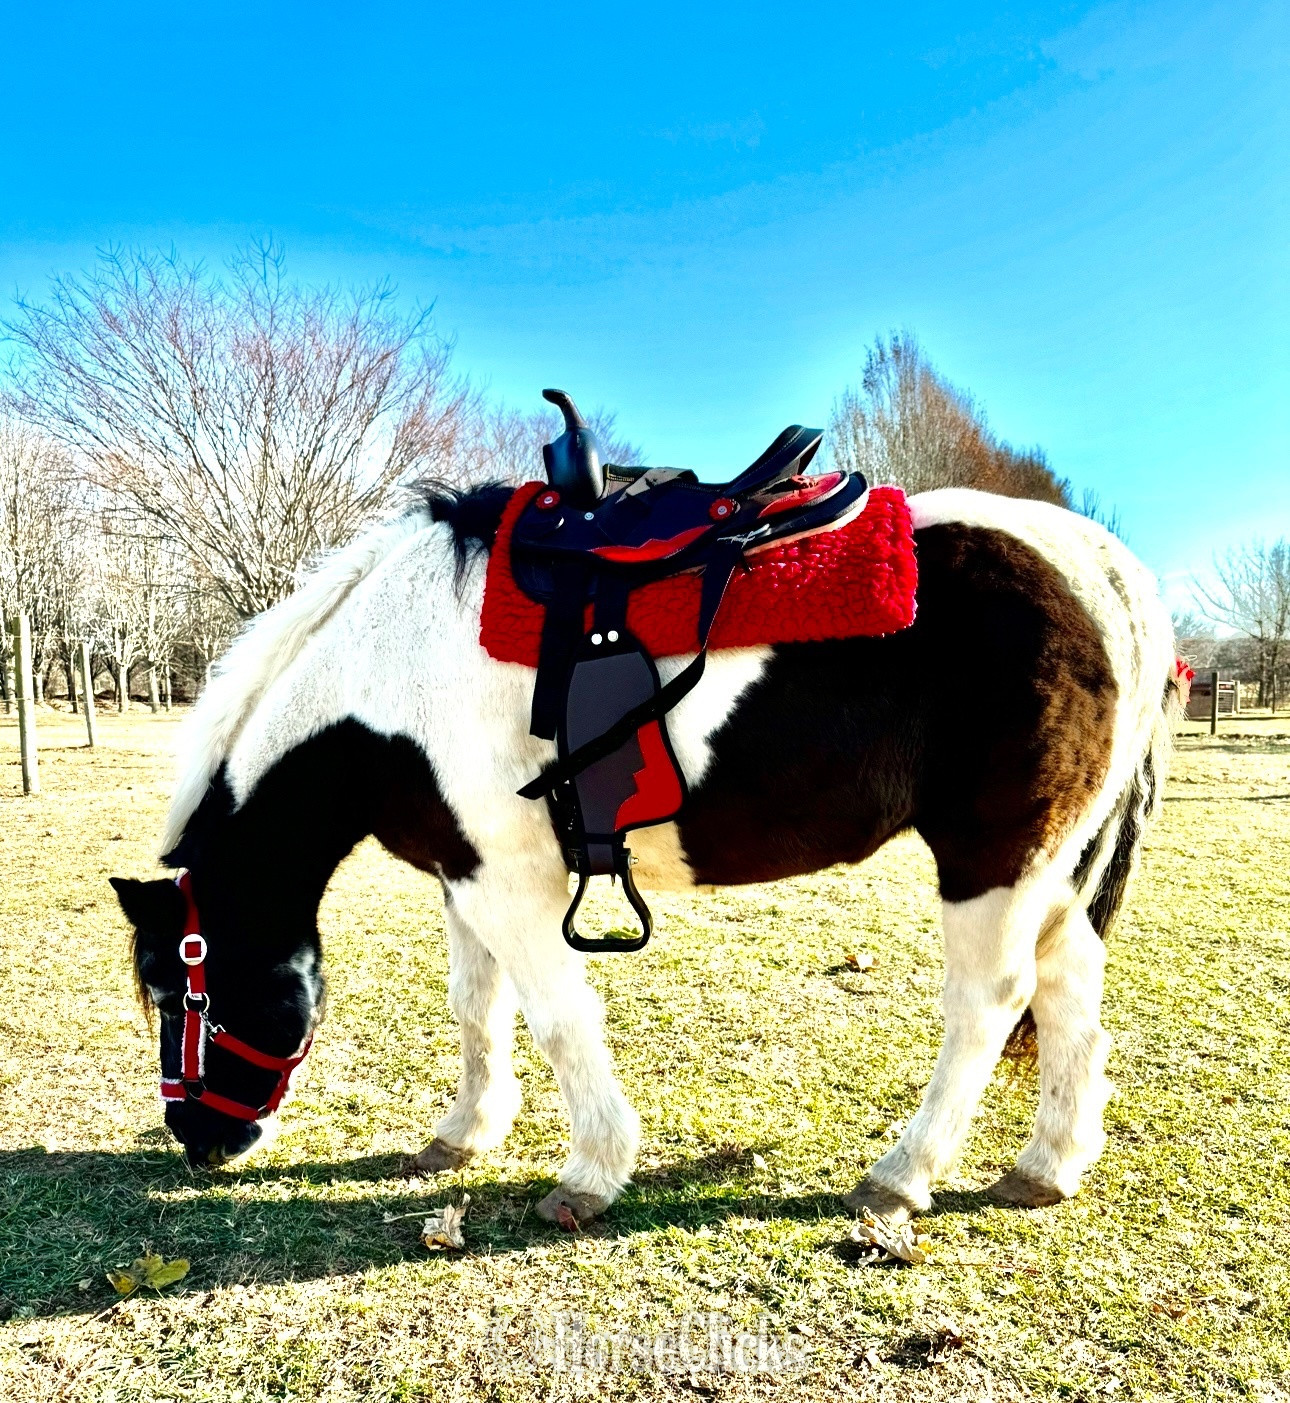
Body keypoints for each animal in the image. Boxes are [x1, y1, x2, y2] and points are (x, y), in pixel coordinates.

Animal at [110, 480, 1176, 1227]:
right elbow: (478, 1007)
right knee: (1070, 983)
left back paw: (903, 1174)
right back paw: (1047, 1164)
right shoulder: (463, 875)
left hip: (991, 860)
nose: (198, 1139)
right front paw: (465, 1132)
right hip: (1047, 867)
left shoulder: (511, 884)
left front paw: (591, 1169)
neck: (391, 671)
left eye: (180, 990)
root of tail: (1104, 567)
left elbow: (556, 1016)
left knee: (989, 1003)